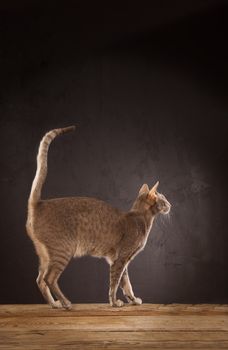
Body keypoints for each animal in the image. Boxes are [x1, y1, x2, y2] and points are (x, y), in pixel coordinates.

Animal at [25, 126, 170, 308]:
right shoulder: (120, 259)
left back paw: (54, 304)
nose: (170, 205)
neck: (140, 217)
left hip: (45, 254)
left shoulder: (121, 259)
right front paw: (114, 302)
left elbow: (126, 283)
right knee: (48, 278)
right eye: (163, 199)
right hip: (63, 250)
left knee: (39, 279)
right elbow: (115, 282)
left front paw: (132, 299)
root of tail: (38, 203)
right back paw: (65, 303)